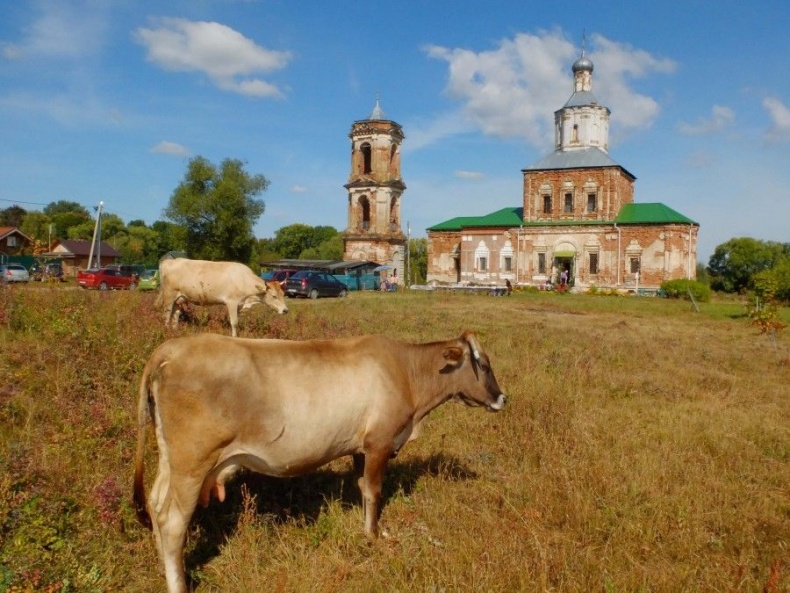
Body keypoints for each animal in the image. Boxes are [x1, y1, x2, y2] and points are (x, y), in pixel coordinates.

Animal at [134, 330, 508, 588]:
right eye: (484, 364)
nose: (502, 398)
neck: (406, 374)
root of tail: (173, 348)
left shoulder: (360, 448)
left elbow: (362, 488)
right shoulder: (379, 442)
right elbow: (374, 490)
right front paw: (374, 536)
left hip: (170, 460)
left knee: (155, 504)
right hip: (192, 461)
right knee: (173, 521)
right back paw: (178, 583)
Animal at [156, 256, 290, 336]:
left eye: (283, 294)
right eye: (274, 296)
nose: (285, 310)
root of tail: (169, 261)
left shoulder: (239, 305)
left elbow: (237, 322)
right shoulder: (231, 302)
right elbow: (234, 322)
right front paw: (234, 337)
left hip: (179, 298)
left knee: (175, 315)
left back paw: (175, 332)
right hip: (169, 296)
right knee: (166, 315)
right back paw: (166, 332)